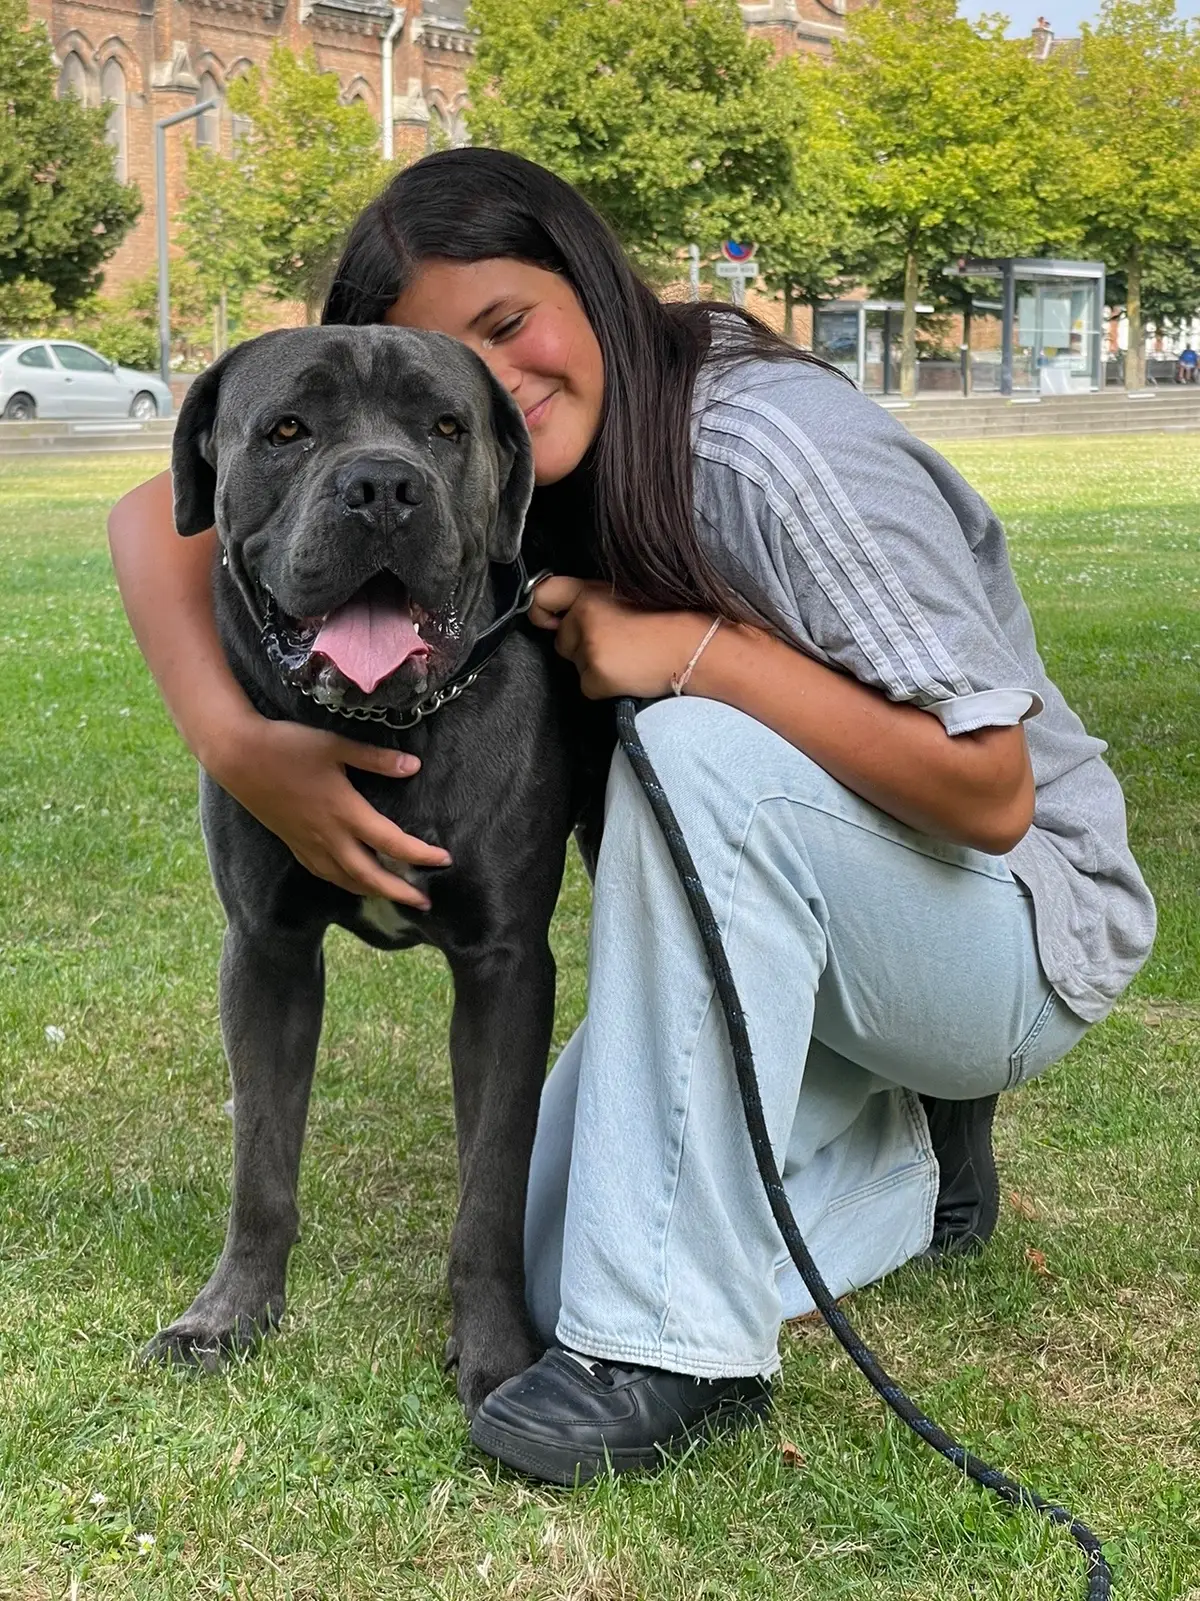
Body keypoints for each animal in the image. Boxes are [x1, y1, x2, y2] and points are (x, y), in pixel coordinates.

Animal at [145, 325, 592, 1415]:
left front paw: (494, 1349)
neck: (386, 727)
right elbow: (260, 1157)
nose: (383, 485)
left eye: (446, 426)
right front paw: (229, 1312)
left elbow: (491, 1183)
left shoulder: (507, 966)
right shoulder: (265, 951)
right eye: (286, 430)